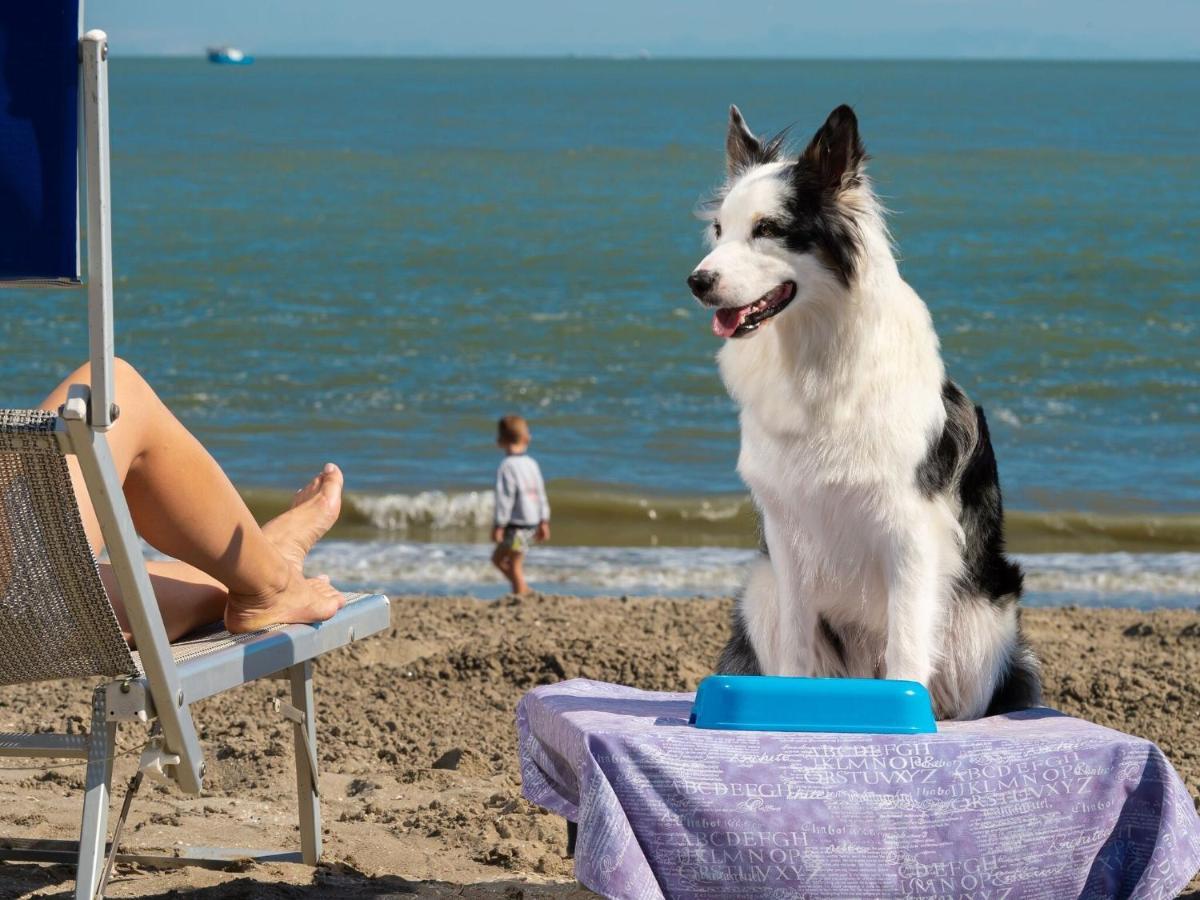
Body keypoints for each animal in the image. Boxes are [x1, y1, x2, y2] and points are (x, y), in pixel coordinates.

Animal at [691, 103, 1046, 720]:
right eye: (719, 230)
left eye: (768, 230)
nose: (696, 281)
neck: (813, 355)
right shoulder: (787, 532)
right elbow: (795, 645)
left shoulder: (911, 530)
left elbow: (907, 647)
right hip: (760, 587)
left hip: (982, 618)